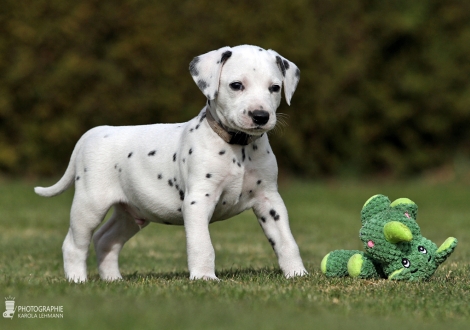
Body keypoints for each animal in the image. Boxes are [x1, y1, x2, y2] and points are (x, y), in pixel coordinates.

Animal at [35, 44, 306, 282]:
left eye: (275, 88)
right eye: (236, 85)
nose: (260, 116)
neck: (238, 147)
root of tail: (94, 132)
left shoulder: (269, 200)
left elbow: (286, 241)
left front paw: (297, 274)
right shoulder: (198, 201)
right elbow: (202, 244)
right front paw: (204, 277)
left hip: (131, 213)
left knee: (106, 239)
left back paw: (113, 279)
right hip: (89, 206)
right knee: (74, 244)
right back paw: (77, 280)